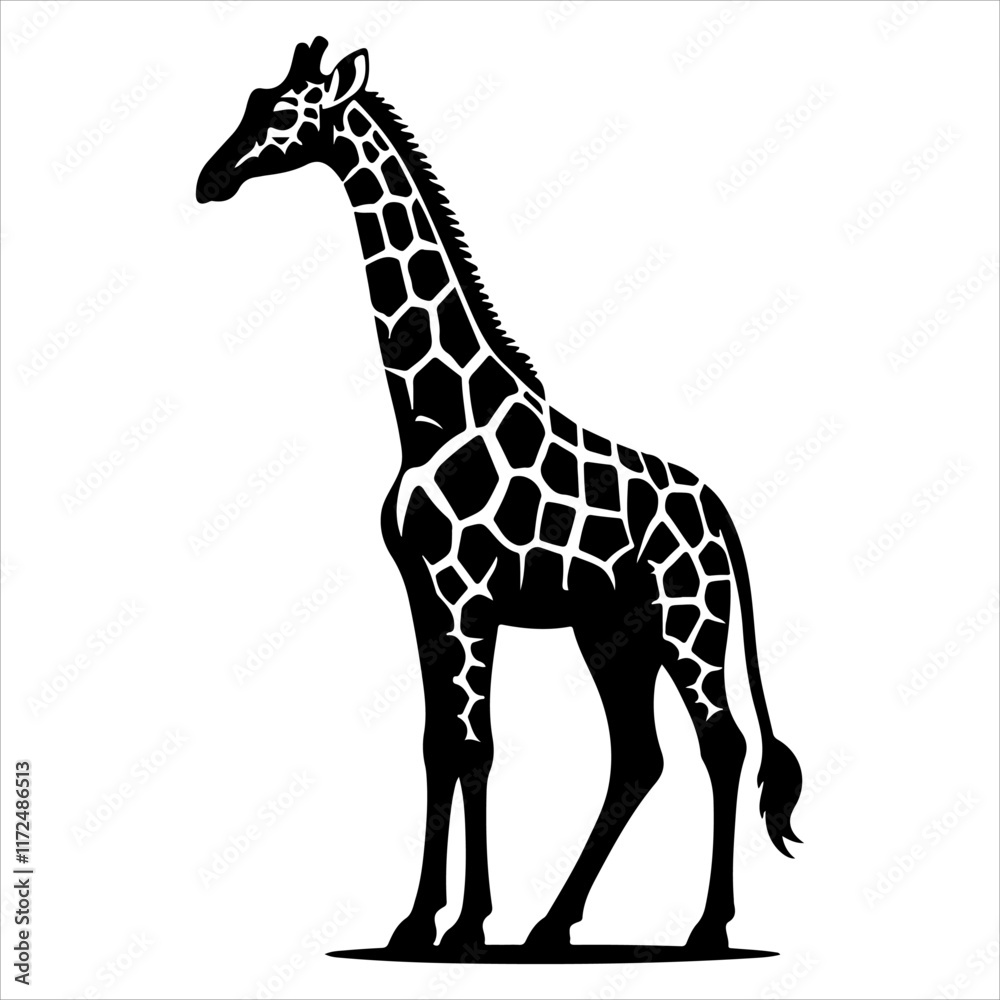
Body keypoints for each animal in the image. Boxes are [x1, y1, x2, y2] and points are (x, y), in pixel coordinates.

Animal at [197, 38, 803, 956]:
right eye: (251, 99)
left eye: (281, 113)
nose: (210, 179)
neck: (432, 410)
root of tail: (724, 514)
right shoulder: (424, 593)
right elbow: (436, 745)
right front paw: (421, 920)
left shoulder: (466, 591)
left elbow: (474, 745)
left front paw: (466, 923)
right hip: (613, 631)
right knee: (640, 756)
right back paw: (553, 923)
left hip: (689, 617)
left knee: (721, 743)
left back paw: (706, 926)